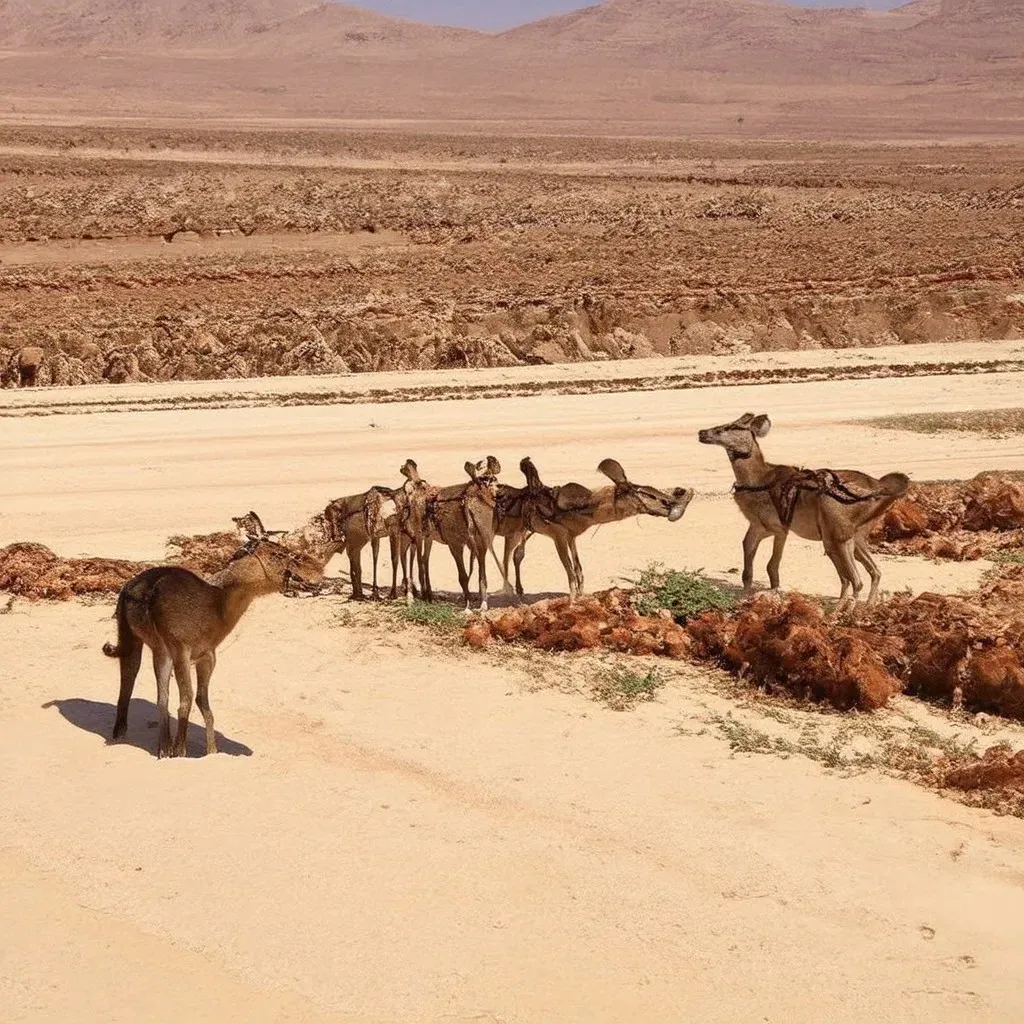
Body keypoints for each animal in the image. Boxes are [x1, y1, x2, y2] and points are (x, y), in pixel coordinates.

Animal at [700, 411, 909, 606]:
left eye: (730, 427)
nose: (702, 432)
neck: (757, 481)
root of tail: (880, 487)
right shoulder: (758, 526)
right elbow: (747, 562)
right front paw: (746, 596)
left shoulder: (780, 528)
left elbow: (772, 566)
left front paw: (771, 596)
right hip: (855, 537)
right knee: (873, 572)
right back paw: (866, 606)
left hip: (836, 536)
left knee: (854, 579)